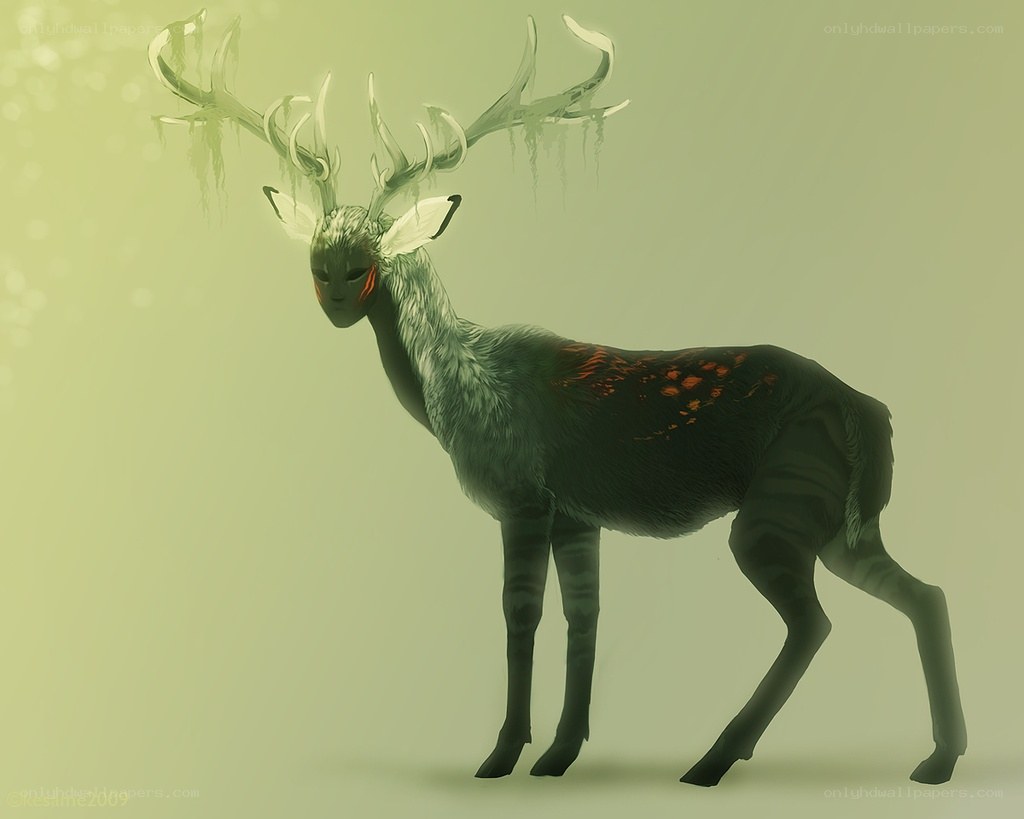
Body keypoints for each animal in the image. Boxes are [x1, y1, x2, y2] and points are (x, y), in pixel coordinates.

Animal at [149, 9, 967, 786]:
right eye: (321, 241)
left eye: (375, 245)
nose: (335, 285)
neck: (456, 392)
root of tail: (868, 410)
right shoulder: (578, 513)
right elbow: (584, 618)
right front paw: (561, 752)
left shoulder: (522, 493)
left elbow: (521, 616)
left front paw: (503, 753)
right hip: (840, 518)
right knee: (924, 592)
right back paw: (936, 758)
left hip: (778, 505)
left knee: (814, 622)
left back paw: (714, 760)